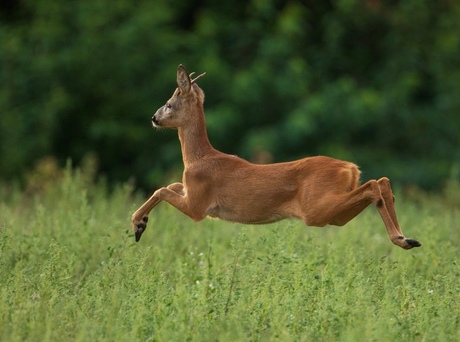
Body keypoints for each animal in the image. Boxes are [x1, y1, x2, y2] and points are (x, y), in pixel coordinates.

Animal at [131, 65, 422, 248]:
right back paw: (407, 239)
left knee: (374, 184)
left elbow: (161, 189)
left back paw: (402, 239)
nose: (154, 117)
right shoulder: (191, 192)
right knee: (380, 182)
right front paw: (141, 223)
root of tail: (350, 167)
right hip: (333, 215)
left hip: (316, 209)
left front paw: (137, 223)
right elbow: (171, 184)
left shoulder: (198, 207)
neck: (198, 158)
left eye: (169, 104)